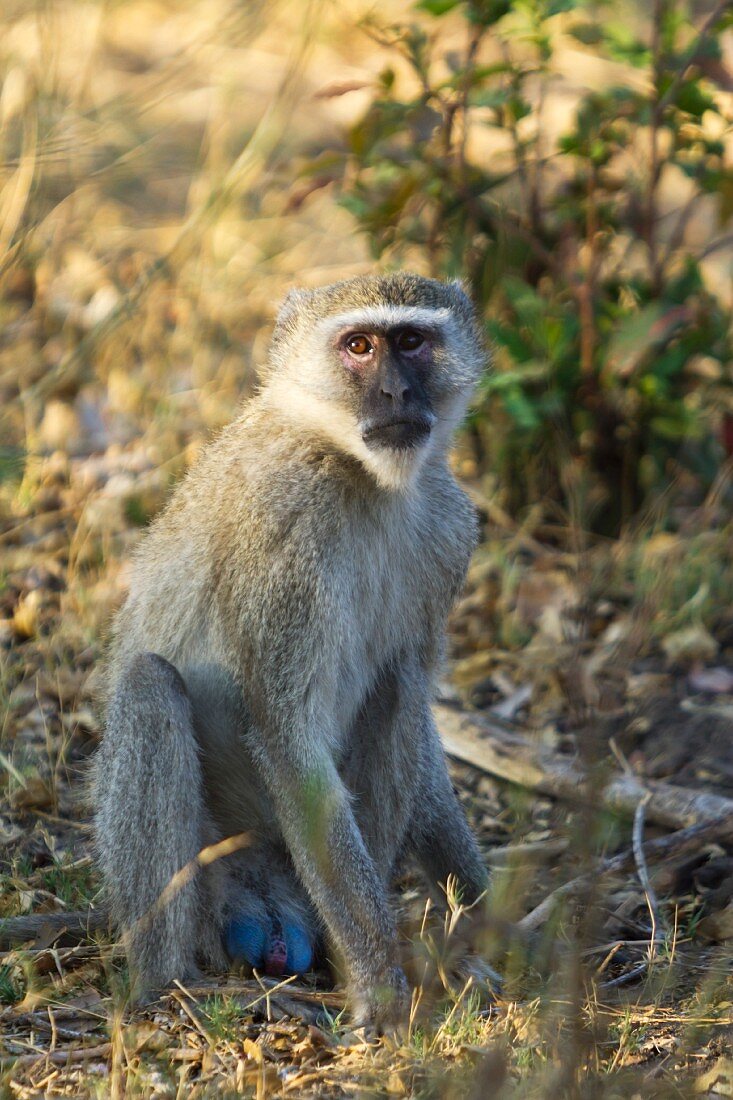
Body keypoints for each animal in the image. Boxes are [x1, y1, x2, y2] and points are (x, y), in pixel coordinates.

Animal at [93, 272, 490, 1029]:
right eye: (358, 346)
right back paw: (166, 985)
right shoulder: (284, 522)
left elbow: (415, 709)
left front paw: (482, 909)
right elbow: (285, 735)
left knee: (396, 687)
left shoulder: (450, 529)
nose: (396, 393)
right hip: (213, 876)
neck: (357, 474)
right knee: (150, 686)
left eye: (411, 341)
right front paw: (380, 988)